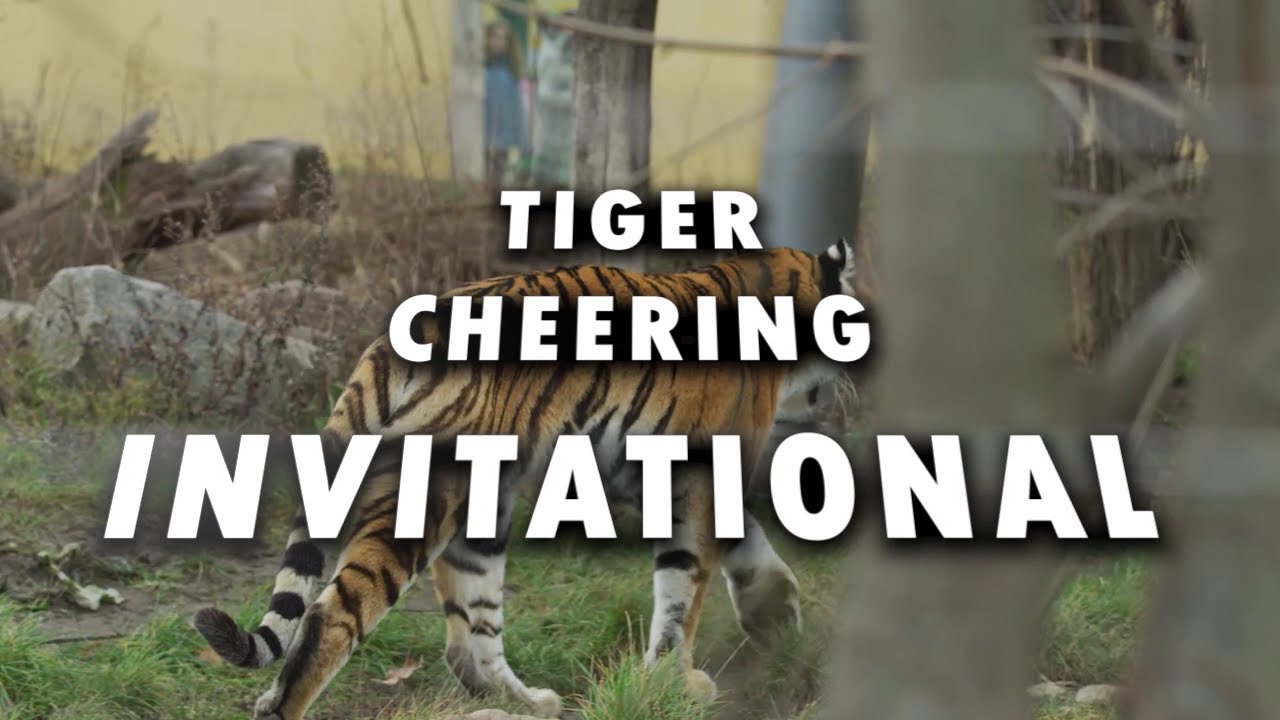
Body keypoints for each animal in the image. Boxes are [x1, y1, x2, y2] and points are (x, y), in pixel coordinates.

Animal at [192, 237, 864, 720]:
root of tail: (392, 342)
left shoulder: (648, 474)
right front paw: (677, 682)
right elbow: (685, 589)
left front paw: (775, 614)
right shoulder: (699, 478)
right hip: (431, 498)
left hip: (477, 509)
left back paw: (524, 701)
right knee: (332, 618)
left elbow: (741, 548)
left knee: (470, 633)